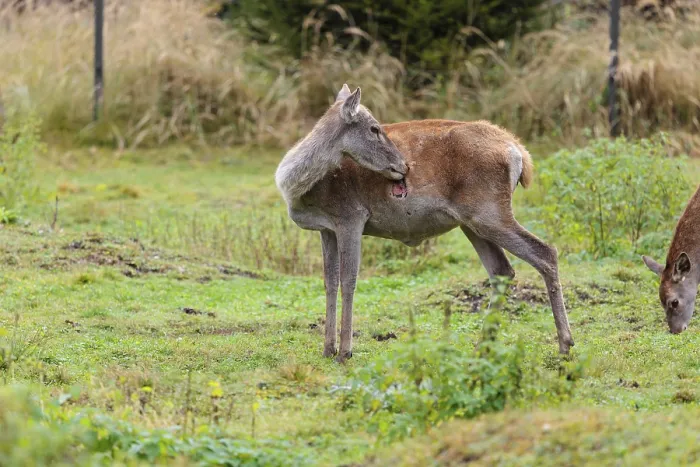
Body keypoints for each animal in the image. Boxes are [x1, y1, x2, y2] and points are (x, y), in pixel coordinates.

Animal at [275, 84, 574, 362]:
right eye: (374, 128)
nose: (404, 167)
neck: (299, 191)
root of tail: (520, 154)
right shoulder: (327, 229)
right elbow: (329, 282)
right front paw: (327, 349)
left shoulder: (351, 216)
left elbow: (349, 280)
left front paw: (345, 352)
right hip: (472, 221)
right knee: (502, 270)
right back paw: (482, 347)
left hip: (490, 212)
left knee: (545, 252)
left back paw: (565, 345)